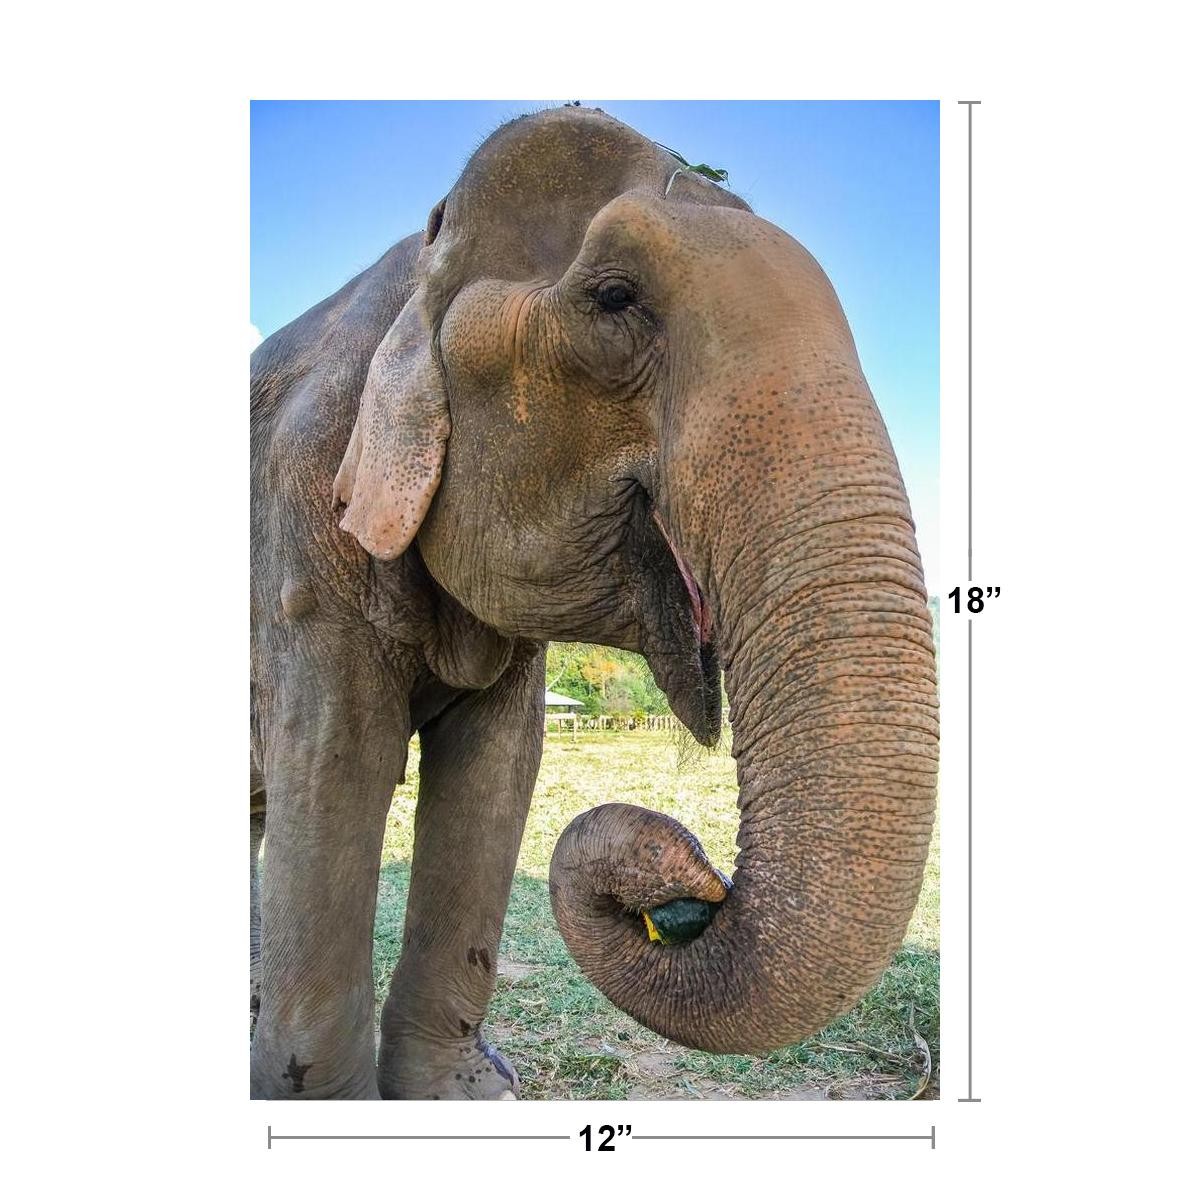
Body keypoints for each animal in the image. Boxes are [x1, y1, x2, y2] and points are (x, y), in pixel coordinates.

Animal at [249, 105, 938, 1100]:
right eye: (615, 299)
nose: (696, 891)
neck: (417, 261)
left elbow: (497, 775)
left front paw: (465, 1093)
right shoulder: (305, 534)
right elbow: (338, 761)